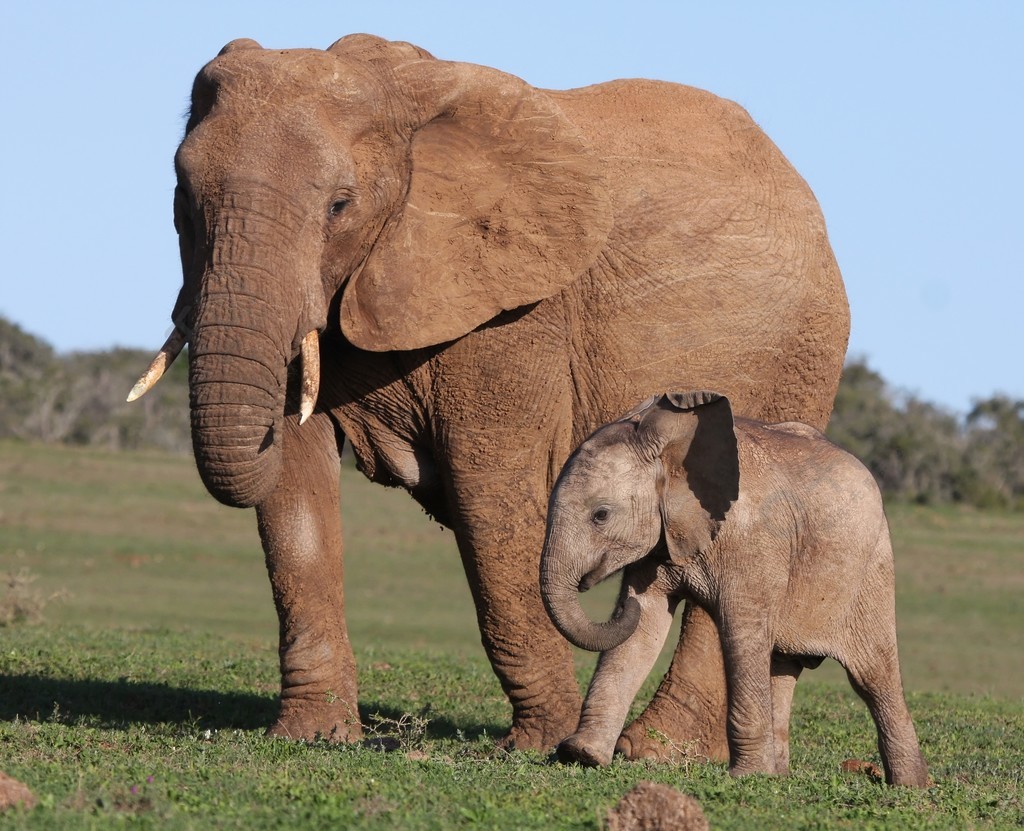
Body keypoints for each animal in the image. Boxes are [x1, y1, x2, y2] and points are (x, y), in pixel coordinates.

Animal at [128, 35, 847, 757]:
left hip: (802, 357)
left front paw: (542, 746)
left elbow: (491, 499)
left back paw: (656, 751)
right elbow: (295, 491)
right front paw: (314, 736)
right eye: (182, 198)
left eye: (340, 205)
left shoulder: (514, 313)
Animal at [540, 388, 933, 785]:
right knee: (783, 666)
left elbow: (739, 636)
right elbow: (644, 627)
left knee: (873, 675)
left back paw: (910, 787)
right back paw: (780, 777)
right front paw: (582, 755)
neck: (671, 447)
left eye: (600, 515)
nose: (619, 605)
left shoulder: (752, 542)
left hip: (871, 568)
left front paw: (748, 777)